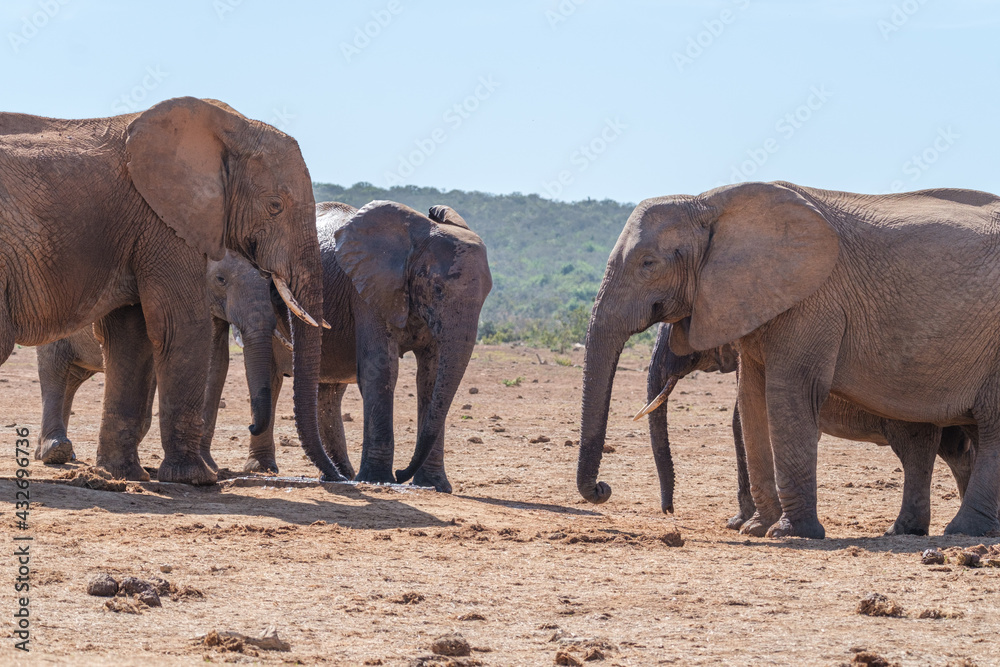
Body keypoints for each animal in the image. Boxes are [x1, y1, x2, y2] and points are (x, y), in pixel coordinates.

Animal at [34, 252, 280, 471]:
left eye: (270, 284)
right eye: (221, 279)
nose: (251, 425)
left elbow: (215, 363)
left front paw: (209, 467)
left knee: (72, 380)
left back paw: (53, 452)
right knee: (54, 371)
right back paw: (55, 451)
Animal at [203, 201, 492, 492]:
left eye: (487, 294)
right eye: (437, 289)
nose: (402, 473)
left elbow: (431, 379)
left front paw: (433, 485)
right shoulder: (367, 292)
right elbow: (381, 369)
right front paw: (377, 479)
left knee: (329, 392)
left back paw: (339, 475)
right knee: (274, 379)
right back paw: (265, 469)